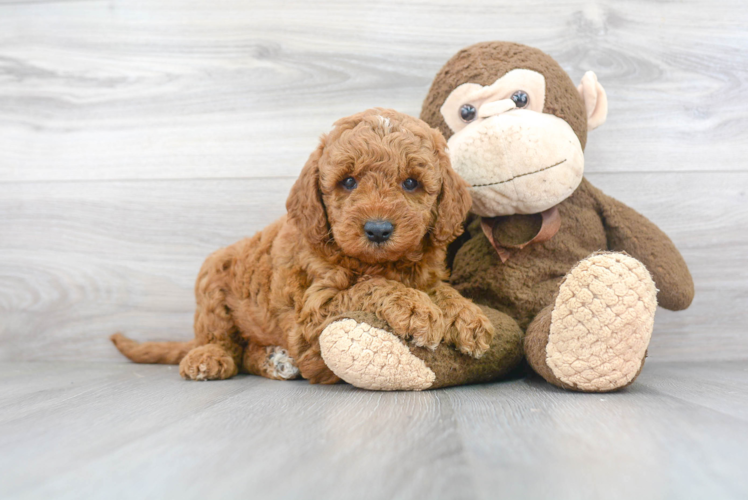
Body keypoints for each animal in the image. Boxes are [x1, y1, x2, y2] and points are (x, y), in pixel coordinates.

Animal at [111, 108, 494, 382]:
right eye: (348, 182)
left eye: (411, 183)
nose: (378, 230)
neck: (381, 262)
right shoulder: (312, 316)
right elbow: (369, 286)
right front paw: (416, 308)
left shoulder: (426, 274)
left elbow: (440, 289)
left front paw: (468, 316)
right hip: (212, 282)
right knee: (222, 341)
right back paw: (210, 358)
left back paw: (274, 360)